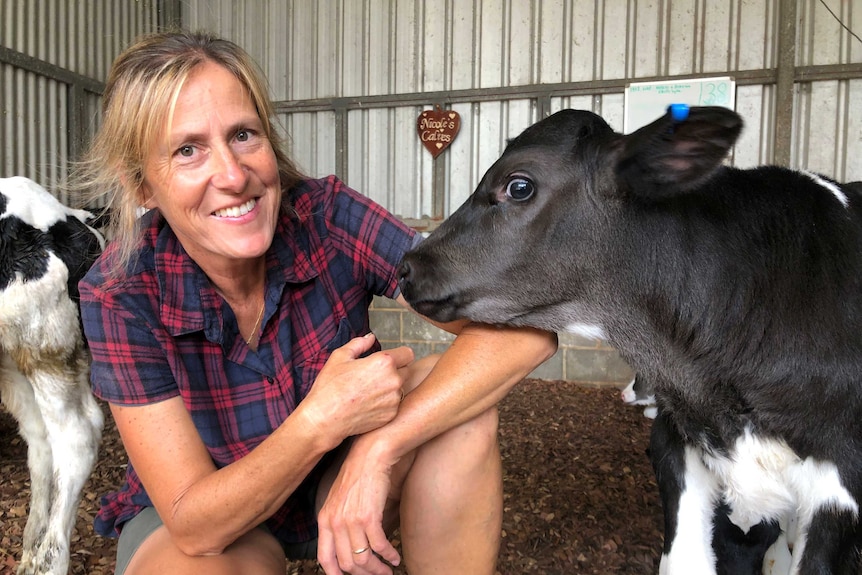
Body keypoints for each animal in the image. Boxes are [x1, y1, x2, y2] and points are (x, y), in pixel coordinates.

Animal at [0, 178, 104, 575]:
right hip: (15, 354)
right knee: (40, 435)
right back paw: (30, 551)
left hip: (43, 341)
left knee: (77, 437)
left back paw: (50, 559)